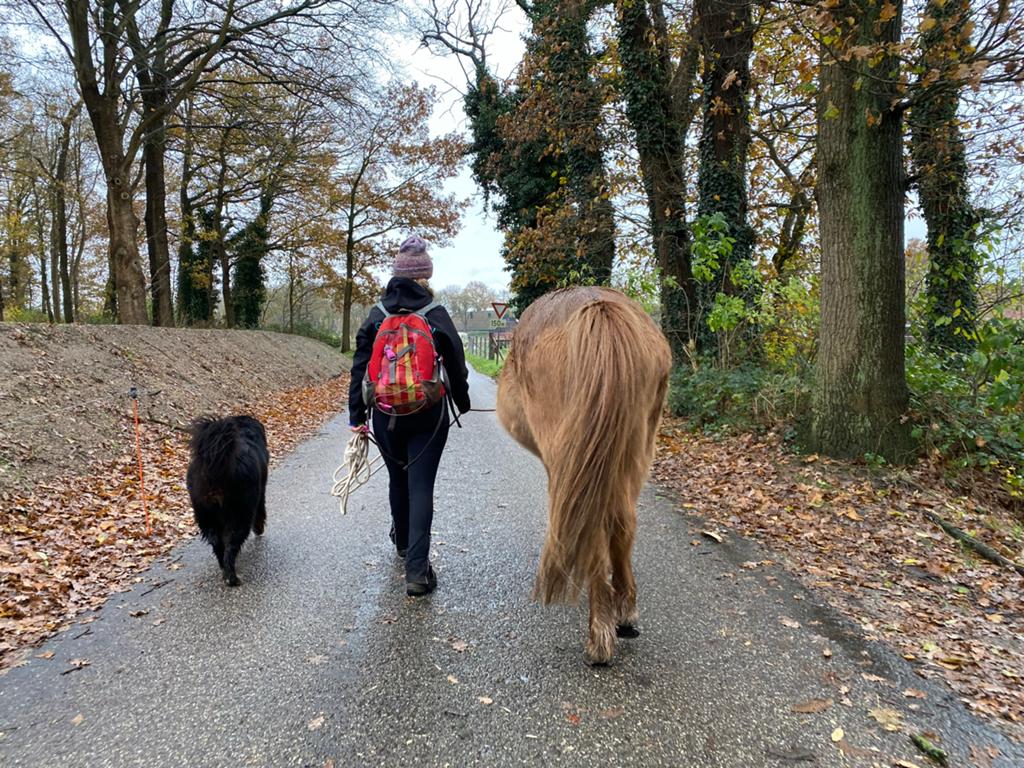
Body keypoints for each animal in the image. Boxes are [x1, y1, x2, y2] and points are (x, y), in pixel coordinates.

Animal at [496, 286, 671, 664]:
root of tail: (600, 309)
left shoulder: (558, 465)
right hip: (636, 449)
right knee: (622, 521)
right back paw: (625, 613)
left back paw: (600, 635)